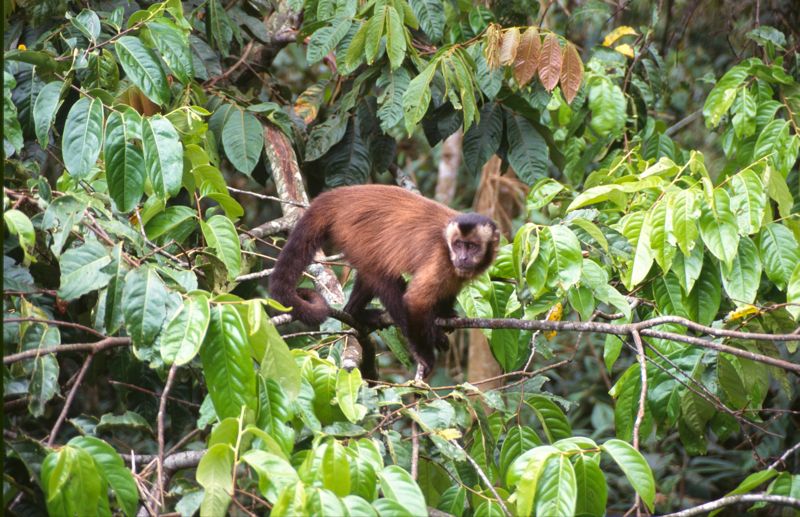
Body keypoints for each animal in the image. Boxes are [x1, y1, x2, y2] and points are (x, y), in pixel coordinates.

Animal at [272, 184, 496, 374]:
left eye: (471, 247)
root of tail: (341, 195)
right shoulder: (441, 258)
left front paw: (445, 314)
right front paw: (426, 353)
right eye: (458, 245)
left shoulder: (454, 268)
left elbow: (449, 289)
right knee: (382, 277)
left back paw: (354, 312)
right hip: (353, 232)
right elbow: (415, 301)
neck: (449, 251)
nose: (462, 257)